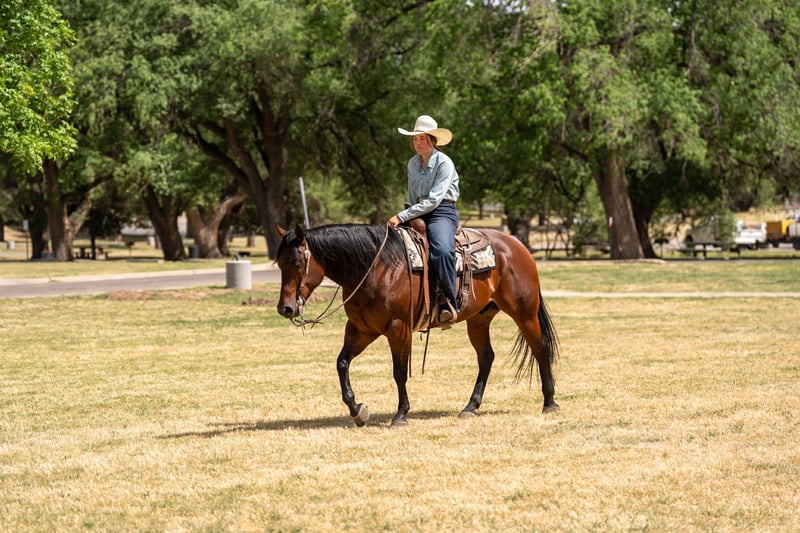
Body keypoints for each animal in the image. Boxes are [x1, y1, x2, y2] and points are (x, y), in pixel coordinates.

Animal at [275, 223, 559, 427]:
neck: (376, 267)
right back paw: (470, 407)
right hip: (479, 319)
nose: (285, 308)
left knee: (540, 348)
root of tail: (517, 246)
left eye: (297, 263)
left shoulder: (398, 329)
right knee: (486, 357)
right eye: (279, 264)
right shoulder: (361, 329)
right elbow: (342, 363)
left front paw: (401, 414)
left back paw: (549, 403)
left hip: (524, 312)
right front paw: (358, 411)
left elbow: (399, 372)